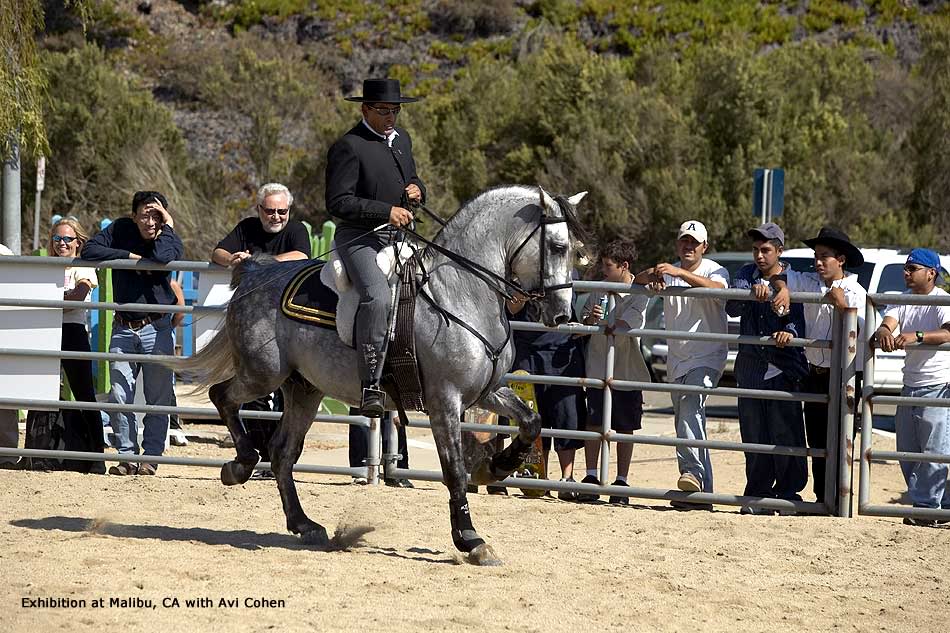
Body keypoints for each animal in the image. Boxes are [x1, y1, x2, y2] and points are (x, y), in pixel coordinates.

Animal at [176, 185, 584, 564]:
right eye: (558, 247)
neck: (460, 293)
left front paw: (496, 467)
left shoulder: (488, 390)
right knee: (222, 397)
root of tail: (256, 271)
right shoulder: (444, 401)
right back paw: (240, 465)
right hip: (263, 374)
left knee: (281, 453)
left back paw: (304, 524)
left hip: (304, 390)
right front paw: (471, 539)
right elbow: (453, 469)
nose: (562, 315)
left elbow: (531, 421)